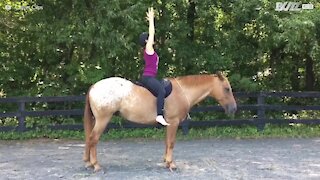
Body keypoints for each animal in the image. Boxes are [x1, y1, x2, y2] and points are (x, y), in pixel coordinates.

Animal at [82, 71, 238, 172]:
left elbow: (166, 142)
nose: (234, 109)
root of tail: (94, 87)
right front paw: (171, 164)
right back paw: (96, 165)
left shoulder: (168, 124)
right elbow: (171, 142)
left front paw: (166, 162)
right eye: (226, 89)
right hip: (102, 120)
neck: (182, 92)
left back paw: (89, 163)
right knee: (93, 139)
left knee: (89, 139)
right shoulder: (174, 123)